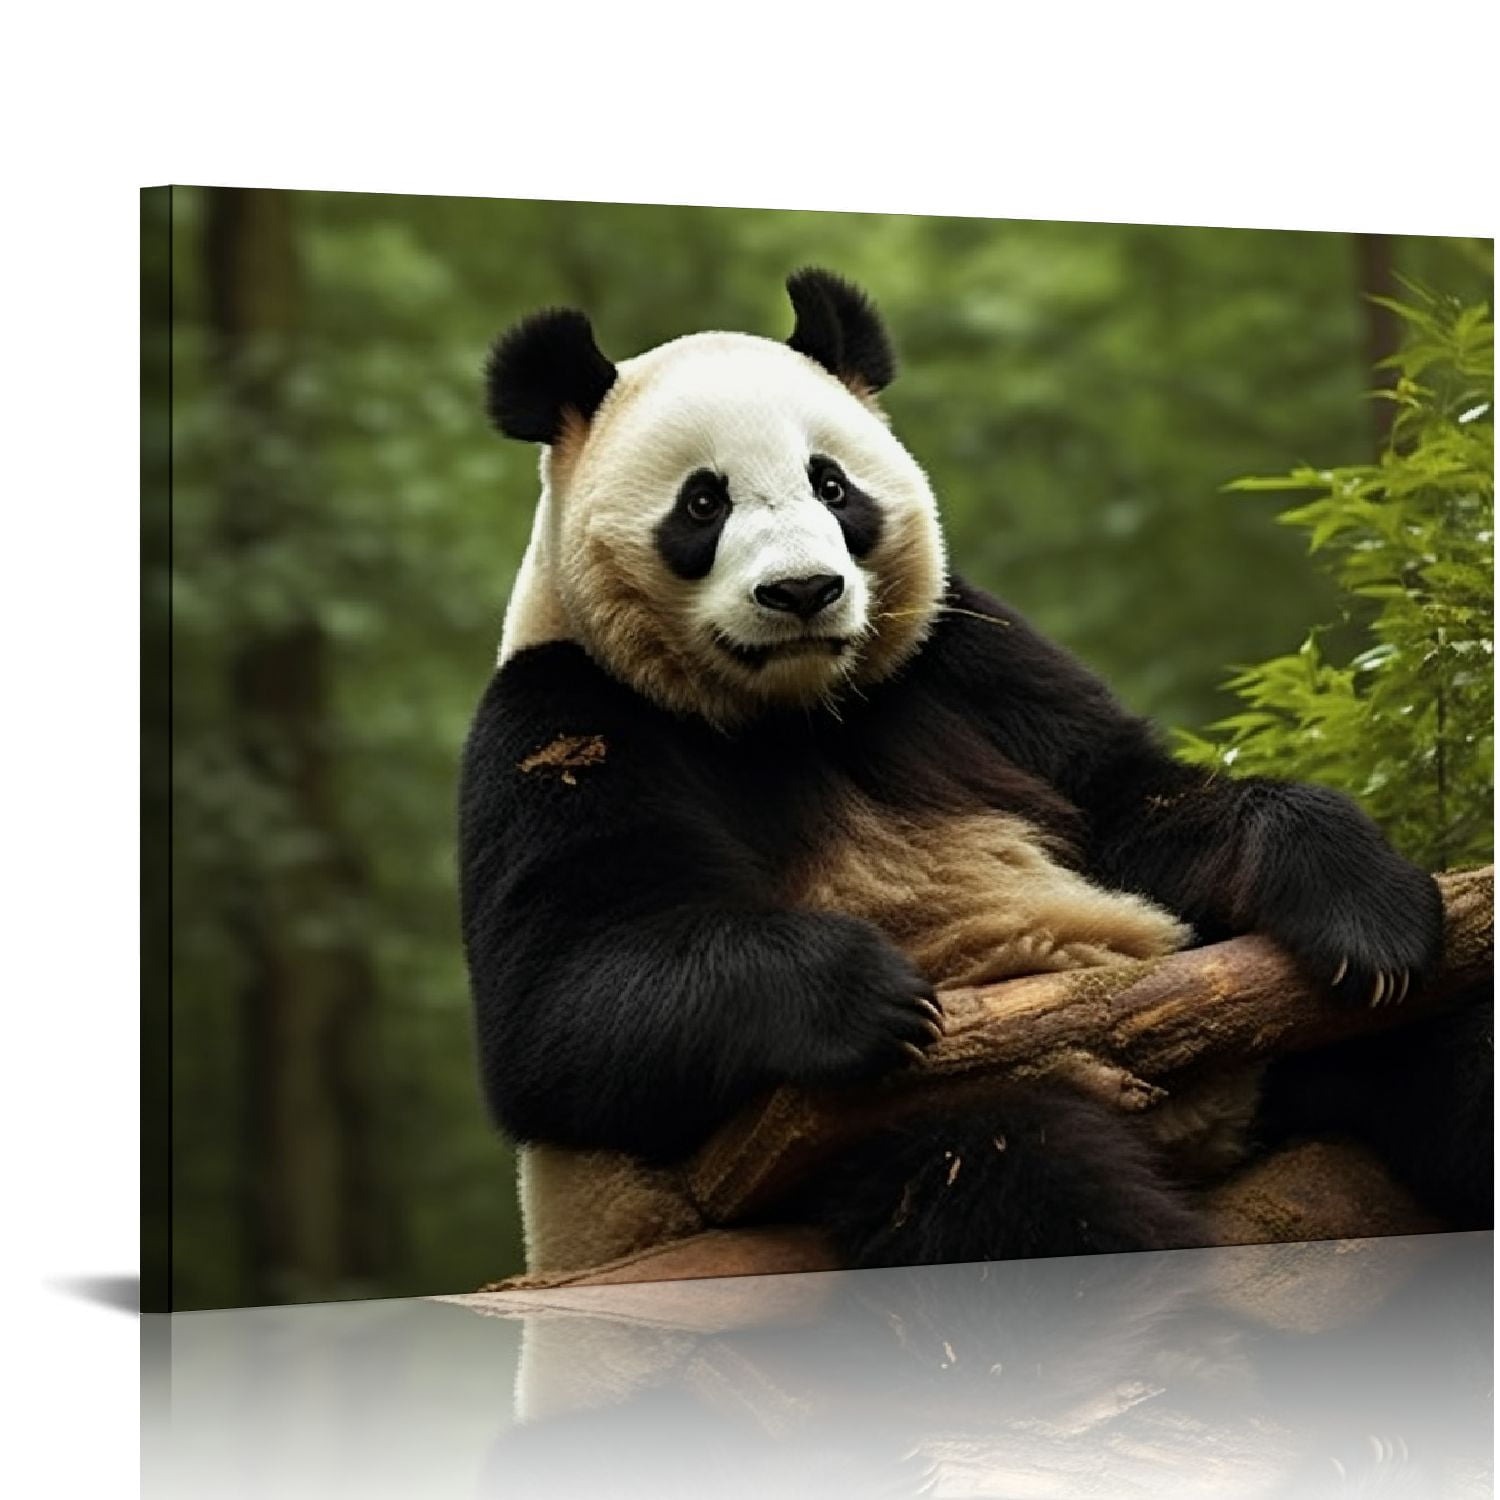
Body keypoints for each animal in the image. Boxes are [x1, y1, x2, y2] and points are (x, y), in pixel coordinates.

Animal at [458, 267, 1487, 1273]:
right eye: (702, 503)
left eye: (831, 485)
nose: (804, 592)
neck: (797, 710)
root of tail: (1208, 1135)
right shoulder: (567, 716)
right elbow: (562, 1005)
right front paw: (861, 990)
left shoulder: (958, 660)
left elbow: (1128, 799)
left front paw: (1362, 911)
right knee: (1012, 1179)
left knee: (1445, 1042)